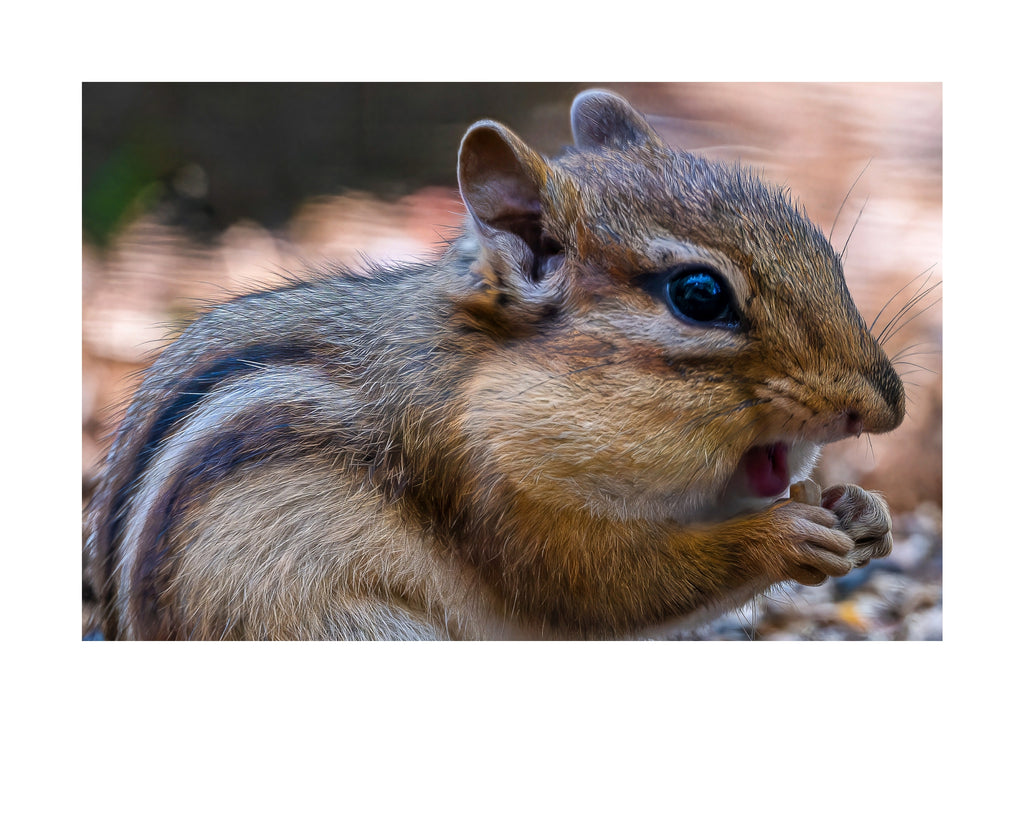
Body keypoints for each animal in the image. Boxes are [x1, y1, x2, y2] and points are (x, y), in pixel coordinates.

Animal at [86, 89, 905, 640]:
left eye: (825, 249)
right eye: (699, 296)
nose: (886, 406)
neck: (494, 383)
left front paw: (865, 510)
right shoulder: (484, 486)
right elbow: (605, 586)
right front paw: (783, 535)